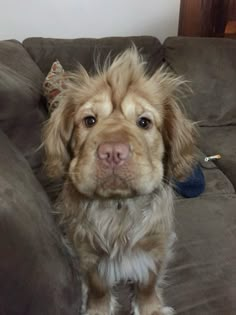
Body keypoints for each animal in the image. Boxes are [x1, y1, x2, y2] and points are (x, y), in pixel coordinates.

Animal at [42, 47, 195, 315]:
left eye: (144, 122)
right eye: (89, 120)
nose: (113, 152)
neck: (119, 206)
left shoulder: (155, 244)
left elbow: (148, 283)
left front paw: (150, 308)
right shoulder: (87, 250)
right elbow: (98, 287)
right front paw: (98, 309)